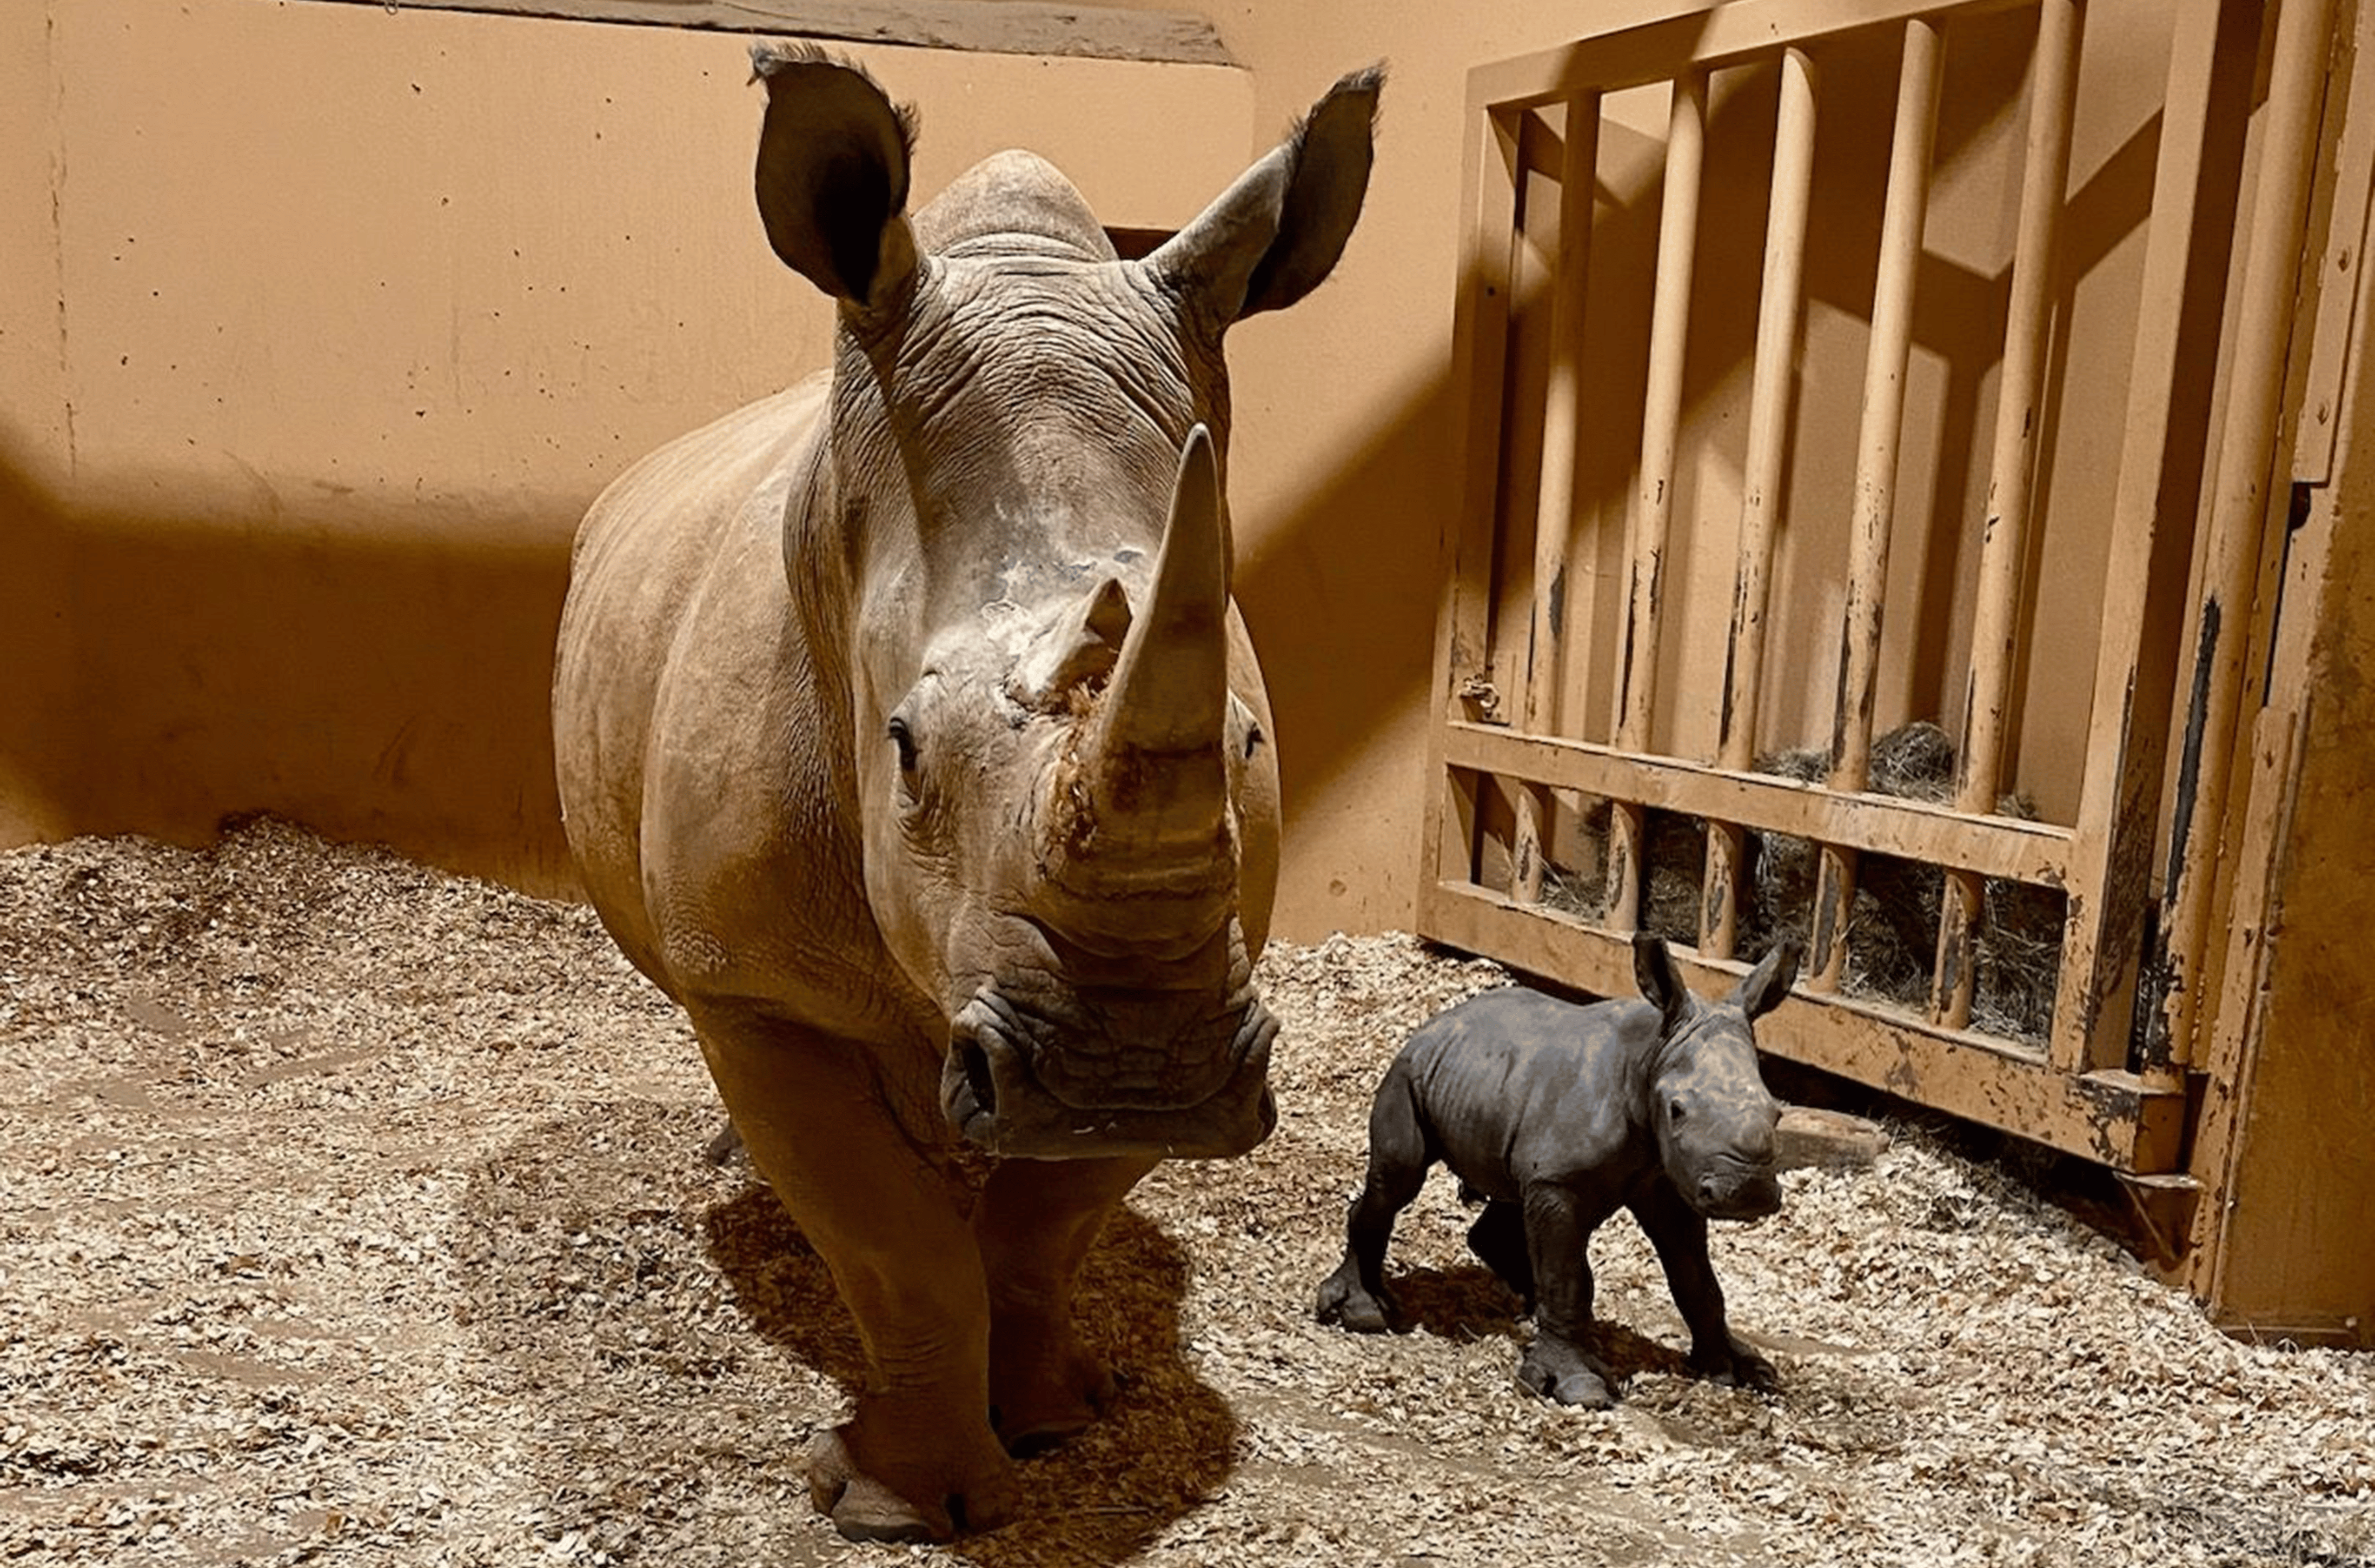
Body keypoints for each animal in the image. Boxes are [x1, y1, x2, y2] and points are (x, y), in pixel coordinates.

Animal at [551, 45, 1379, 1543]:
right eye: (899, 747)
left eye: (1244, 744)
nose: (1142, 1072)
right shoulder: (756, 983)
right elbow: (895, 1242)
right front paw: (901, 1505)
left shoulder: (1164, 976)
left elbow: (1045, 1225)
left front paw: (1055, 1421)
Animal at [1316, 936, 1799, 1409]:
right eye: (1677, 1111)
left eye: (1778, 1114)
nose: (1747, 1192)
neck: (1652, 1055)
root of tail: (1437, 1022)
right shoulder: (1561, 1184)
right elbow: (1568, 1278)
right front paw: (1579, 1386)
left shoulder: (1666, 1178)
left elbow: (1697, 1278)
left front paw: (1740, 1371)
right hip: (1407, 1074)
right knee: (1399, 1178)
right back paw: (1363, 1313)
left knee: (1509, 1199)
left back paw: (1528, 1313)